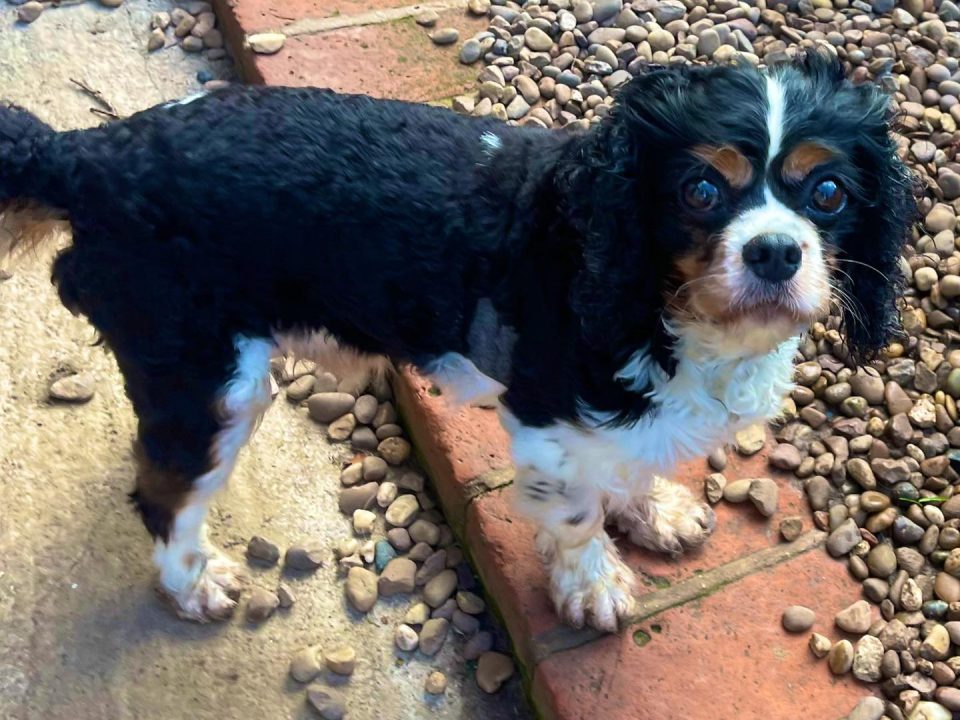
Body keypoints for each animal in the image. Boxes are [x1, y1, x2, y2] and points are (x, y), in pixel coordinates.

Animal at [0, 54, 916, 632]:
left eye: (828, 192)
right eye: (699, 190)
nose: (775, 251)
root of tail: (90, 151)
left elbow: (630, 463)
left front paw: (651, 509)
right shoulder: (547, 418)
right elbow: (577, 514)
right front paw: (592, 587)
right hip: (211, 380)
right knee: (163, 494)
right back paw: (195, 585)